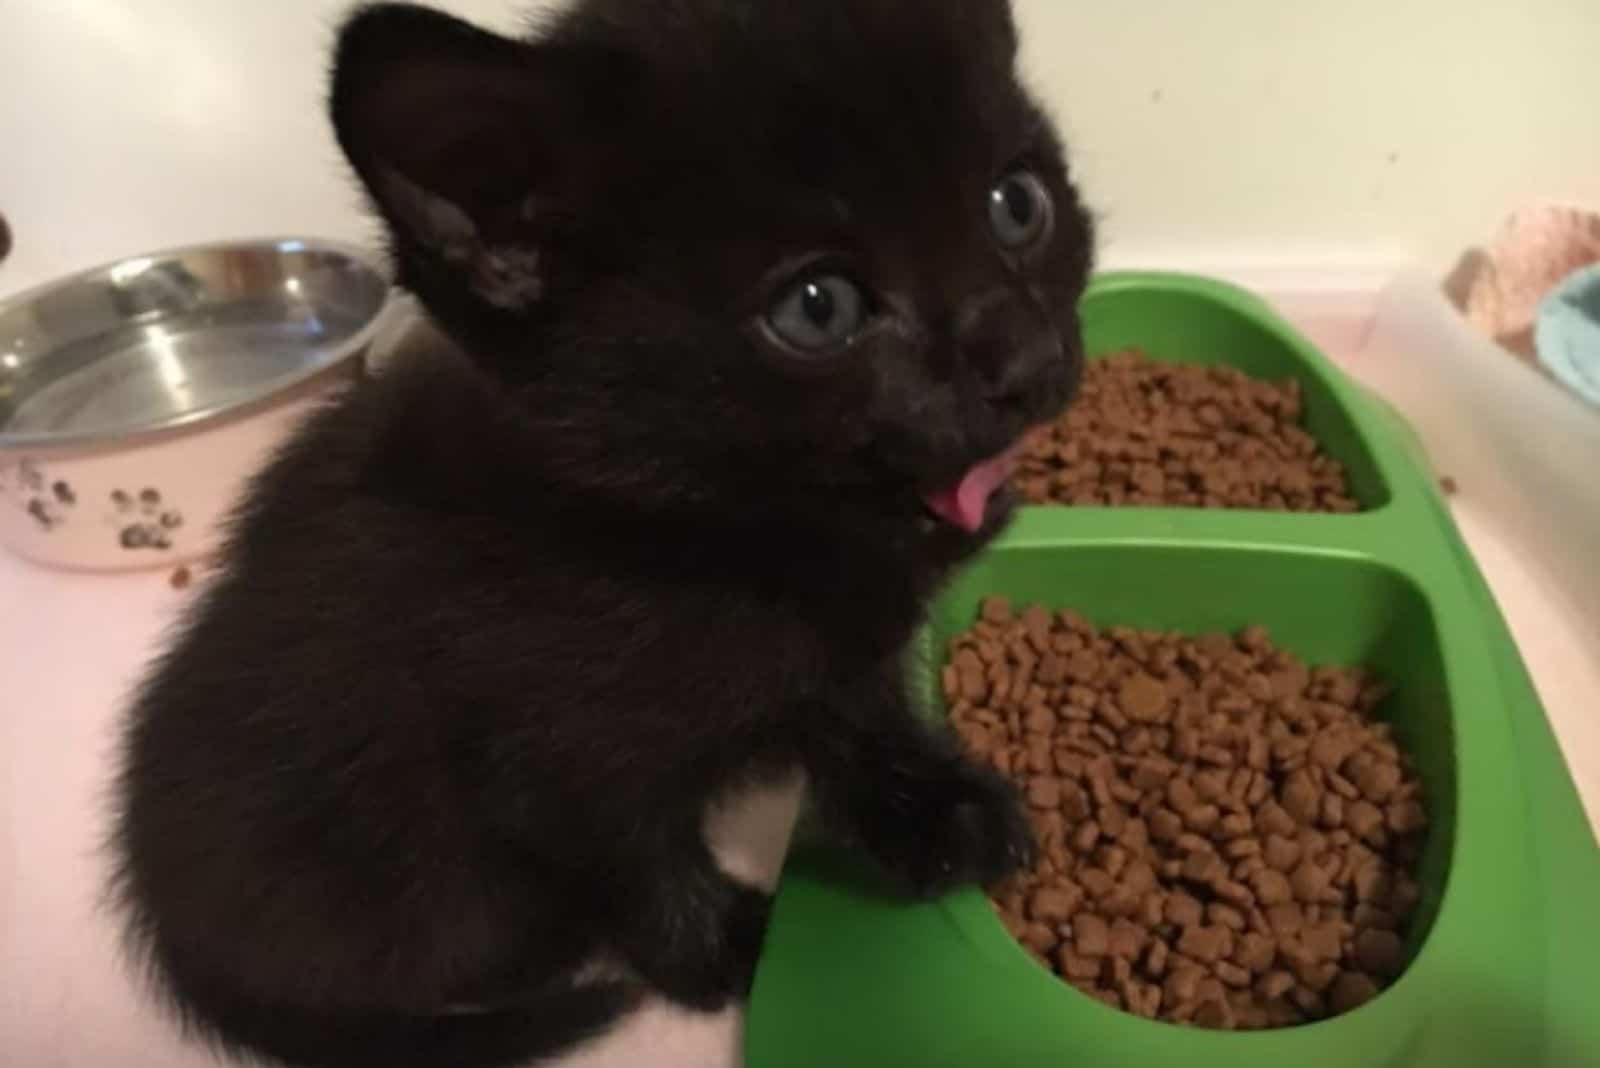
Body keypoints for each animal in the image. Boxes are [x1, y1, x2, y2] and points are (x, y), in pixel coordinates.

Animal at [109, 2, 1088, 1068]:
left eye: (1017, 203)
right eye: (818, 307)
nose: (1030, 361)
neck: (732, 550)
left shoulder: (840, 648)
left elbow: (860, 711)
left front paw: (934, 810)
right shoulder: (547, 755)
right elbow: (637, 861)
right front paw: (733, 948)